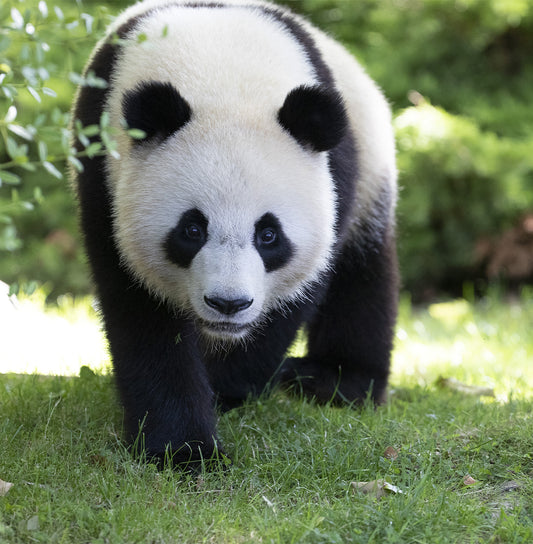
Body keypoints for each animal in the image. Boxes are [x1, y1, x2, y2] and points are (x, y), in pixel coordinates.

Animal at [70, 0, 396, 468]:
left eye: (269, 235)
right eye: (192, 229)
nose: (228, 304)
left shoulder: (336, 174)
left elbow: (295, 296)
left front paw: (226, 387)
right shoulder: (102, 170)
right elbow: (140, 309)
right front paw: (182, 448)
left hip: (372, 165)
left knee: (363, 273)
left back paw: (333, 379)